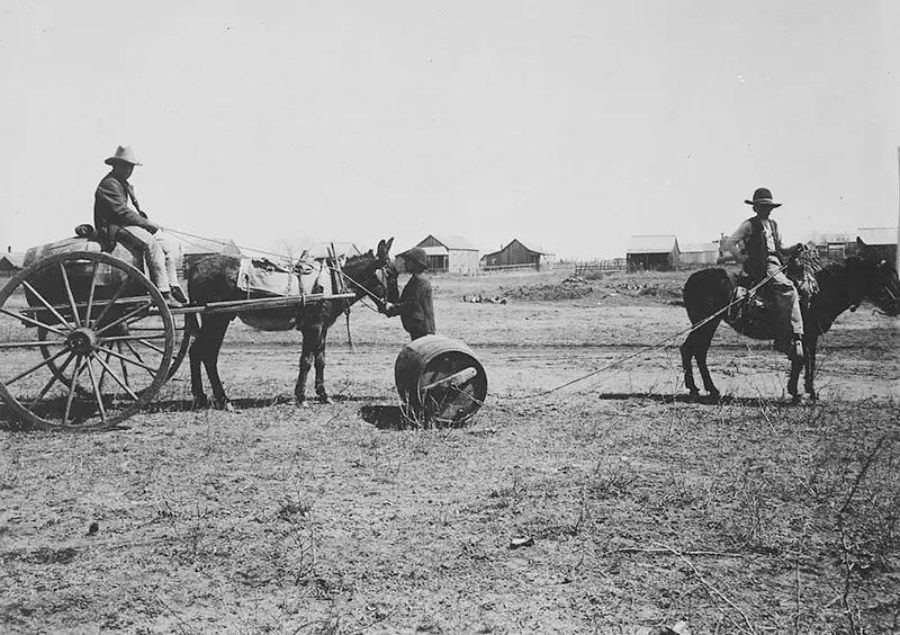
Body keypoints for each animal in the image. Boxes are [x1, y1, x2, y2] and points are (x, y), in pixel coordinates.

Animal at [185, 238, 398, 410]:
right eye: (391, 274)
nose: (395, 308)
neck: (334, 282)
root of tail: (195, 269)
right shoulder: (312, 328)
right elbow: (306, 361)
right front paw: (301, 398)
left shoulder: (322, 328)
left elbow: (320, 360)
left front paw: (324, 395)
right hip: (217, 319)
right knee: (208, 355)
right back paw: (224, 400)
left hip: (214, 320)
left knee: (196, 352)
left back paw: (201, 397)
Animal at [680, 238, 900, 403]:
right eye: (886, 276)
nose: (897, 305)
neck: (819, 290)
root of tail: (691, 279)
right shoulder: (804, 333)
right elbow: (802, 360)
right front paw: (797, 392)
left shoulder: (810, 336)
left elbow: (808, 360)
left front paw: (809, 391)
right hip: (706, 323)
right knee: (696, 351)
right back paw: (705, 389)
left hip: (704, 324)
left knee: (691, 350)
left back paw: (700, 388)